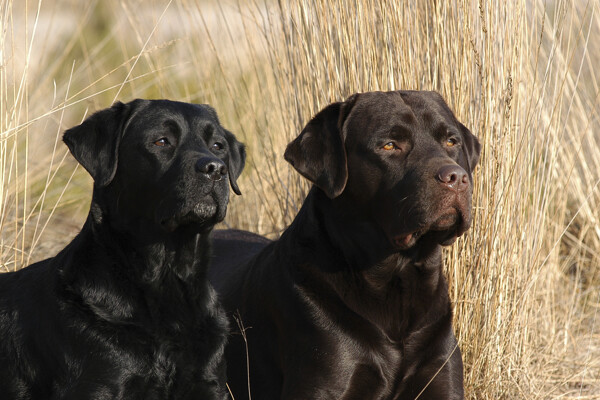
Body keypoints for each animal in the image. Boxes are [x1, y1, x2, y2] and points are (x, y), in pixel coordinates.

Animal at [0, 98, 246, 398]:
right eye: (161, 141)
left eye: (218, 146)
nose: (215, 169)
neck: (166, 278)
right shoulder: (100, 384)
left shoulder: (210, 383)